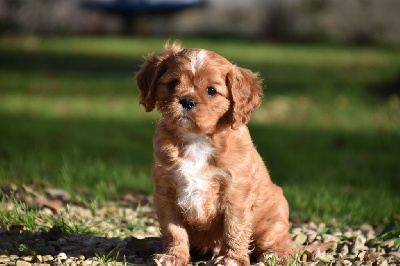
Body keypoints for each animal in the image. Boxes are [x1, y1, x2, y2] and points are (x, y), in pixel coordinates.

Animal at [136, 42, 292, 264]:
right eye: (173, 84)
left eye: (211, 91)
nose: (187, 101)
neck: (197, 139)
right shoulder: (166, 193)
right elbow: (173, 230)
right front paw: (173, 256)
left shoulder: (236, 194)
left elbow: (235, 228)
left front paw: (231, 259)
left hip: (273, 220)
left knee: (283, 241)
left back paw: (273, 254)